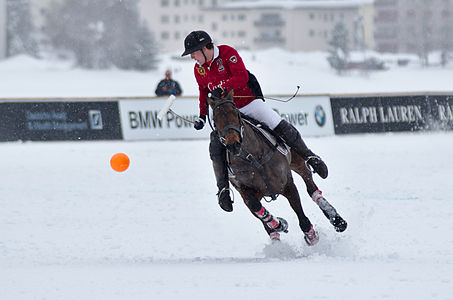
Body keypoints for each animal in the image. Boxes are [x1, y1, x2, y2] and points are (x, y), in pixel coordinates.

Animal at [207, 90, 348, 245]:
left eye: (235, 113)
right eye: (215, 119)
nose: (233, 145)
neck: (252, 157)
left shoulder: (287, 184)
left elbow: (299, 212)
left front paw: (311, 235)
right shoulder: (244, 191)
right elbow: (256, 208)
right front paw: (280, 224)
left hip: (298, 160)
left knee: (310, 185)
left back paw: (336, 219)